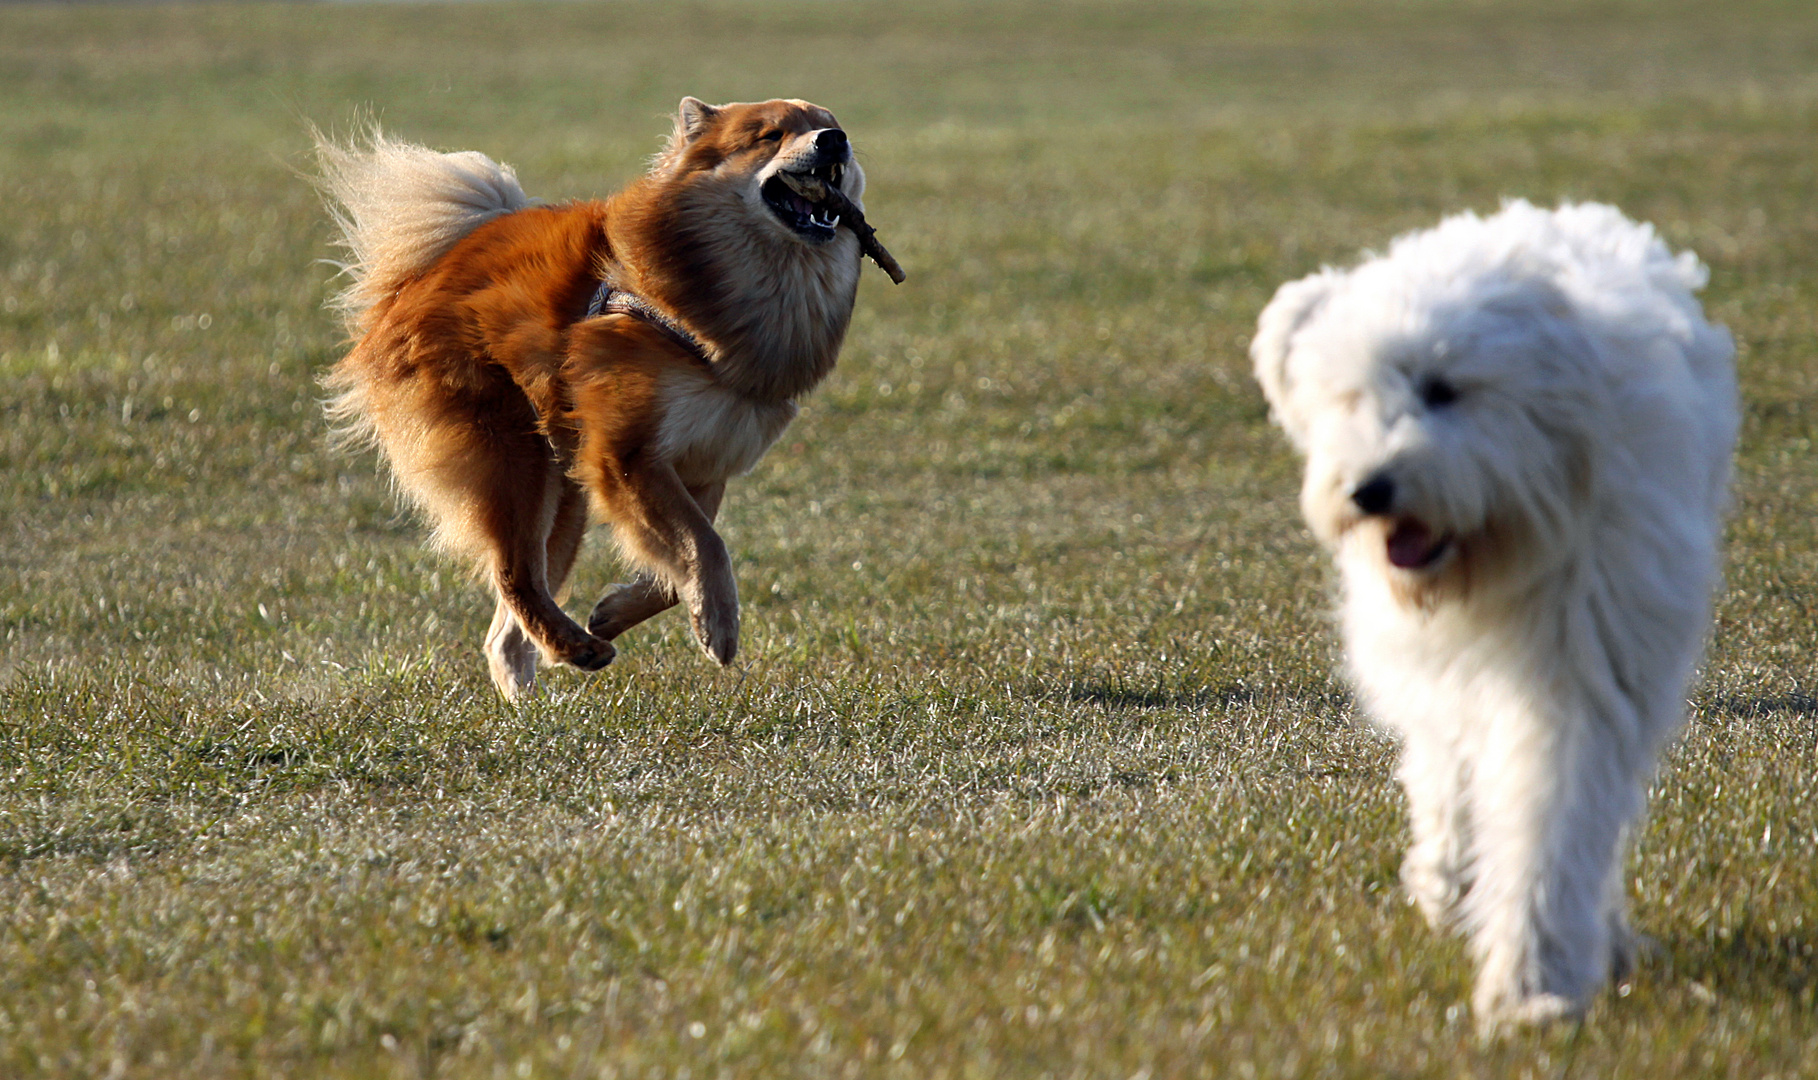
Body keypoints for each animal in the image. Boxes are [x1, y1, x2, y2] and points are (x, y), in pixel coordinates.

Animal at [316, 100, 890, 698]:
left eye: (830, 123)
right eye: (771, 135)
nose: (834, 141)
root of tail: (418, 277)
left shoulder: (704, 464)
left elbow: (683, 557)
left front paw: (620, 610)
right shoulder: (628, 453)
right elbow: (707, 545)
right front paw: (718, 624)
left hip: (566, 489)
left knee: (507, 627)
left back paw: (534, 696)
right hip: (515, 459)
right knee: (514, 575)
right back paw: (574, 649)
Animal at [1258, 201, 1738, 1025]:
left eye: (1445, 389)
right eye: (1351, 398)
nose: (1369, 489)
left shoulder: (1590, 667)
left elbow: (1555, 822)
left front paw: (1533, 978)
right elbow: (1455, 772)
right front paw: (1470, 900)